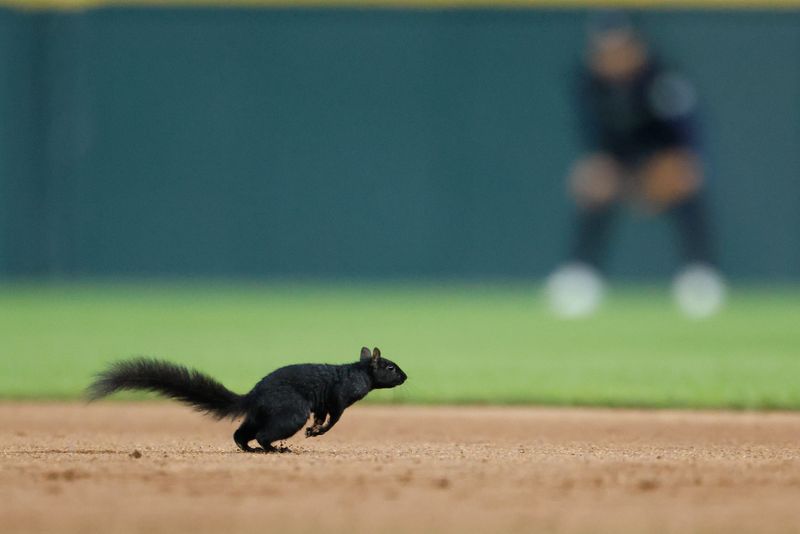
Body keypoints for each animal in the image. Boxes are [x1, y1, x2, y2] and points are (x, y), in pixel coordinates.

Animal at [87, 346, 407, 453]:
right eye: (390, 367)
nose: (405, 377)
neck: (359, 372)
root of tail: (253, 396)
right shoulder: (339, 398)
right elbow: (333, 419)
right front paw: (317, 431)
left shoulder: (325, 403)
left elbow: (322, 416)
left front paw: (314, 430)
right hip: (290, 413)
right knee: (264, 434)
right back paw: (274, 449)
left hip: (258, 416)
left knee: (241, 433)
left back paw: (248, 448)